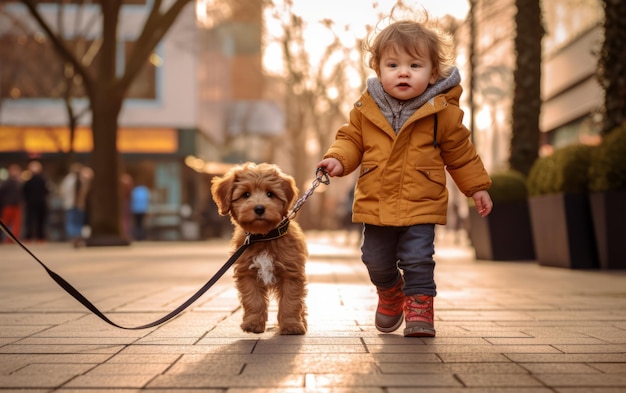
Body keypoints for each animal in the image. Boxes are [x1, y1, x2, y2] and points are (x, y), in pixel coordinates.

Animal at [210, 162, 308, 334]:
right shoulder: (247, 273)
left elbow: (290, 301)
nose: (259, 208)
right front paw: (253, 324)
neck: (263, 237)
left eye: (270, 194)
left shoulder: (291, 273)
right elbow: (253, 300)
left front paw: (291, 325)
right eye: (246, 194)